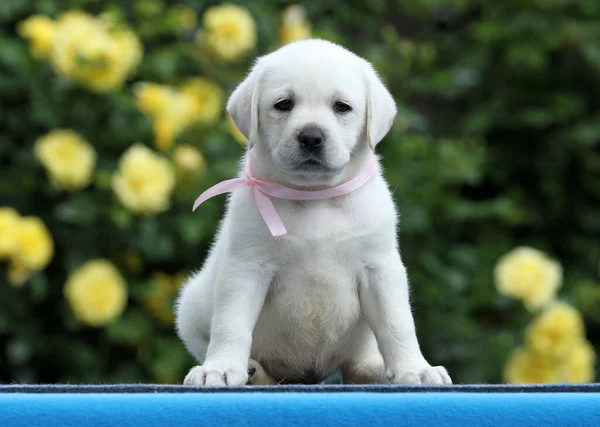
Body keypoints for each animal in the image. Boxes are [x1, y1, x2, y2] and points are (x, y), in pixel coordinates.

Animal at [176, 39, 452, 388]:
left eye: (342, 107)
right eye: (283, 104)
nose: (311, 137)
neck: (315, 197)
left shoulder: (380, 268)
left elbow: (398, 323)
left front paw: (414, 369)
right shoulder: (245, 268)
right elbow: (231, 322)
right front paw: (221, 368)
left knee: (356, 366)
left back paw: (378, 370)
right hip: (190, 306)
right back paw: (252, 371)